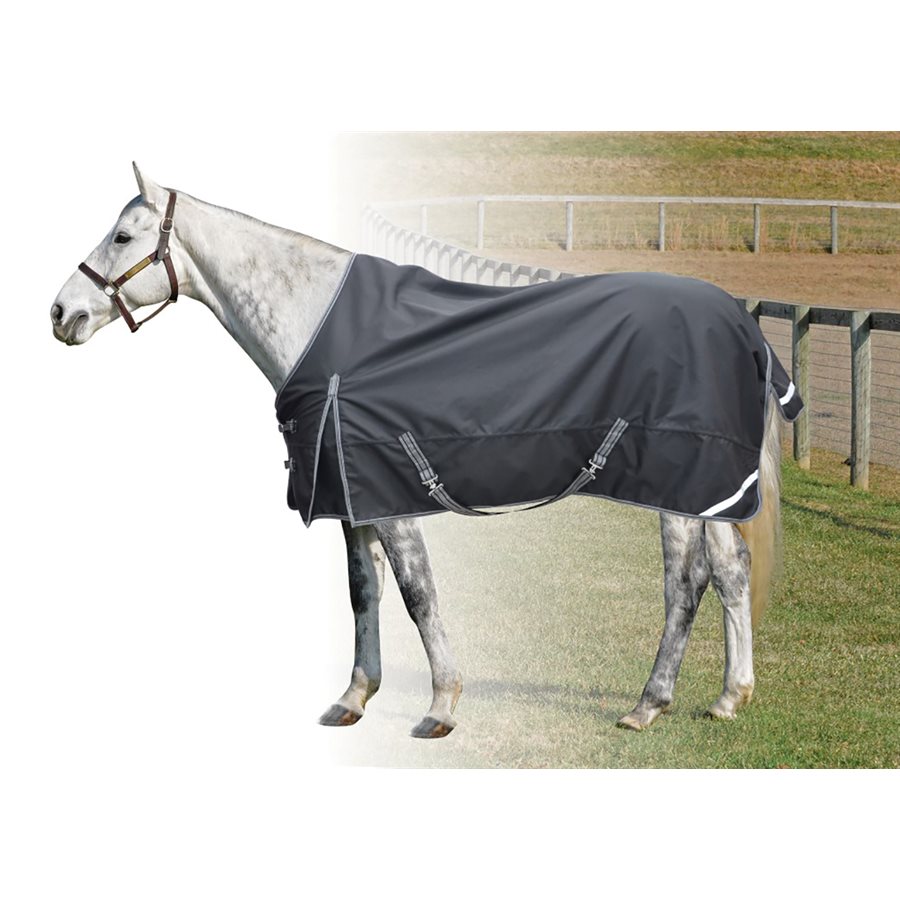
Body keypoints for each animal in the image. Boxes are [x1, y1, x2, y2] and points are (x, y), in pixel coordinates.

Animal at [51, 164, 783, 739]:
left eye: (122, 237)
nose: (61, 313)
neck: (328, 335)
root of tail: (737, 321)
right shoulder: (350, 499)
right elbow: (362, 592)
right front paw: (353, 698)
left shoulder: (392, 497)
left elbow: (416, 593)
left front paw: (441, 707)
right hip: (709, 493)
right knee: (730, 572)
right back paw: (729, 697)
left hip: (680, 488)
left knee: (685, 582)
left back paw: (648, 704)